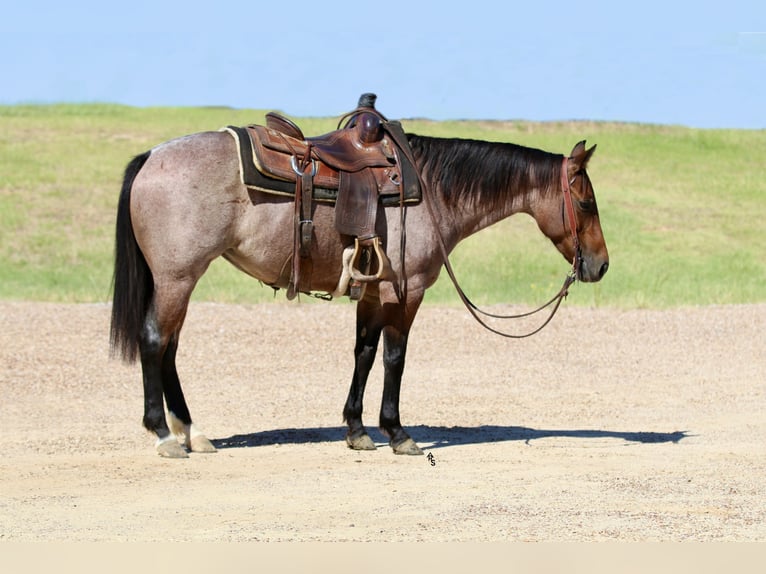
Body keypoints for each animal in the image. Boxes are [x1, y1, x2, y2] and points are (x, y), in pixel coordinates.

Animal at [109, 111, 609, 459]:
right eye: (586, 202)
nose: (601, 265)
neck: (431, 191)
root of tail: (152, 156)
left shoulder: (372, 292)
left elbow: (364, 353)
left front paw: (356, 430)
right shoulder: (405, 291)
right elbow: (394, 357)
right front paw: (398, 432)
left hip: (180, 281)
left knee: (169, 347)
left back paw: (192, 433)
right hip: (177, 278)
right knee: (155, 341)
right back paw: (163, 434)